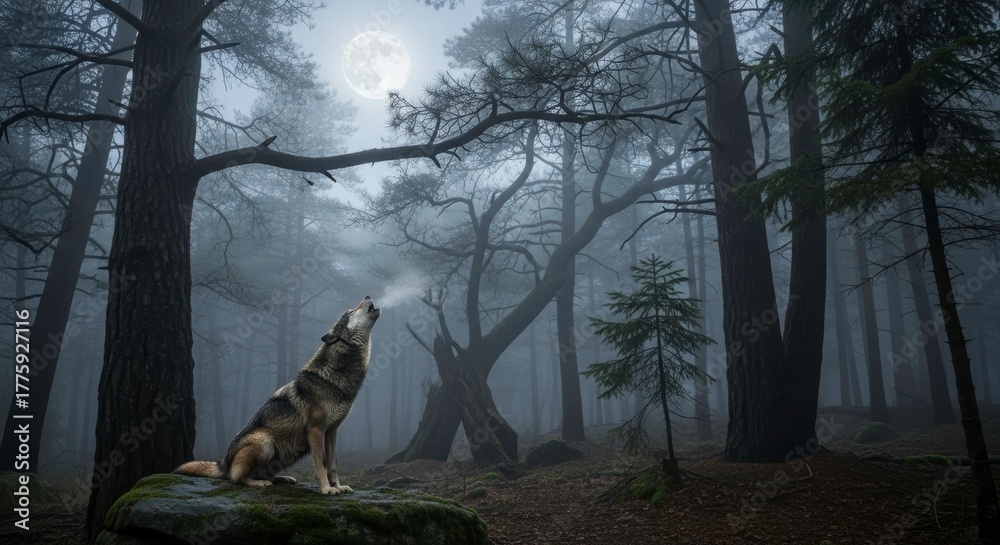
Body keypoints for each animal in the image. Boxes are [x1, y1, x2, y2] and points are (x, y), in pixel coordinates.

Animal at [174, 295, 380, 494]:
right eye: (351, 311)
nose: (368, 295)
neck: (335, 375)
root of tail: (224, 461)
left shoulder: (331, 432)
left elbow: (333, 464)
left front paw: (338, 486)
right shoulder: (316, 430)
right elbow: (321, 464)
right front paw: (326, 489)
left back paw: (282, 479)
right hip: (265, 442)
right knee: (236, 478)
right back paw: (259, 483)